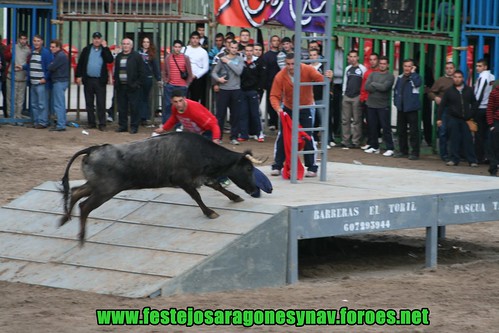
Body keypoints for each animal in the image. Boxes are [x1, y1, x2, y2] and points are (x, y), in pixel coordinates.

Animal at [59, 131, 262, 243]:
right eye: (249, 168)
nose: (254, 190)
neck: (199, 150)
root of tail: (93, 149)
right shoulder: (183, 180)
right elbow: (197, 196)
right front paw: (210, 212)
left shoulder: (201, 177)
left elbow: (217, 186)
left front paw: (235, 197)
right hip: (105, 191)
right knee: (84, 206)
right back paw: (81, 237)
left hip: (97, 187)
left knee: (75, 192)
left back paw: (65, 219)